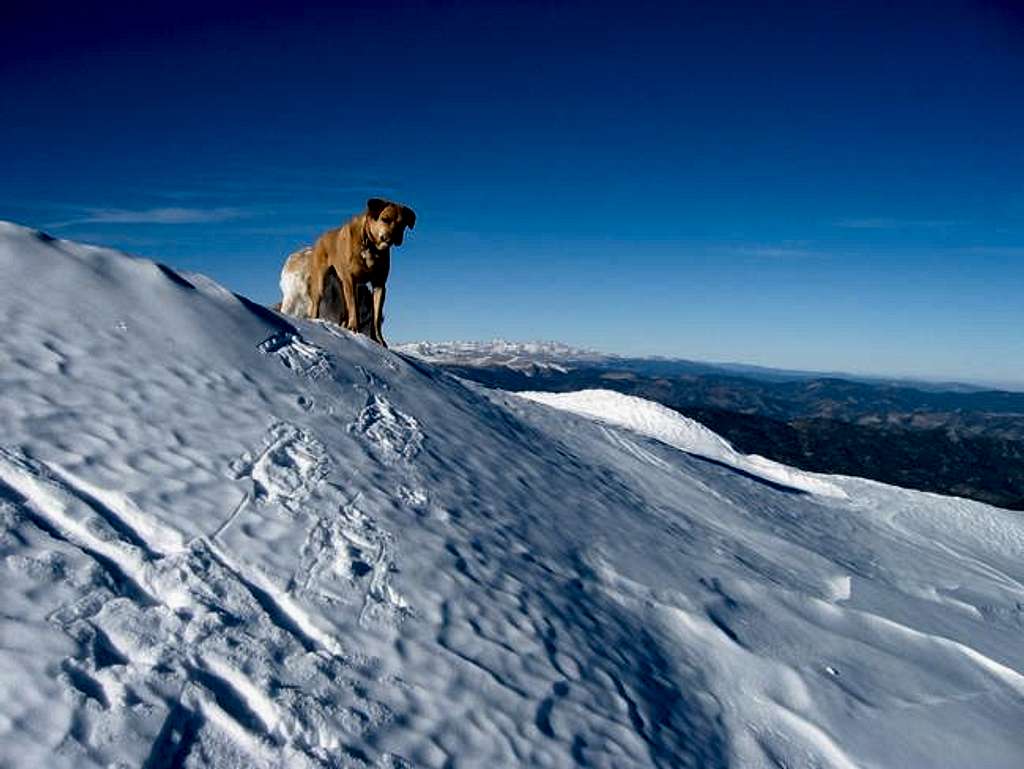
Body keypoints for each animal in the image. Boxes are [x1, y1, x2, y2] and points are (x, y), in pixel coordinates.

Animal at [305, 198, 413, 346]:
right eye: (385, 219)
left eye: (403, 224)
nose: (396, 236)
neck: (370, 246)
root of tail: (320, 239)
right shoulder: (351, 280)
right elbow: (354, 307)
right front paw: (353, 327)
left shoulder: (379, 284)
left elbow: (376, 316)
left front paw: (378, 340)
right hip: (321, 282)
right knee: (318, 303)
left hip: (341, 285)